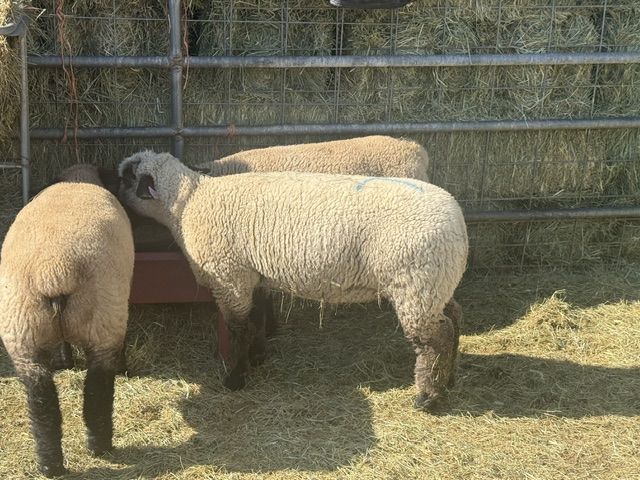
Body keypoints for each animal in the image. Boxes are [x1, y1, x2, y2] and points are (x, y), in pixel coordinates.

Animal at [0, 164, 134, 477]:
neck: (79, 180)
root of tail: (53, 271)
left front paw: (65, 362)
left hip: (21, 331)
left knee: (41, 402)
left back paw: (50, 465)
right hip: (105, 318)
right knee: (98, 389)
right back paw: (100, 447)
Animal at [118, 151, 468, 411]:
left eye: (126, 176)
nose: (114, 194)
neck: (191, 201)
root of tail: (457, 220)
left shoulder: (230, 279)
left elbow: (239, 329)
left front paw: (236, 378)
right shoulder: (253, 276)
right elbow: (257, 319)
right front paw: (258, 357)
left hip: (415, 284)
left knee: (434, 339)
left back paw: (427, 397)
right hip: (438, 282)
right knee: (453, 320)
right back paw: (449, 379)